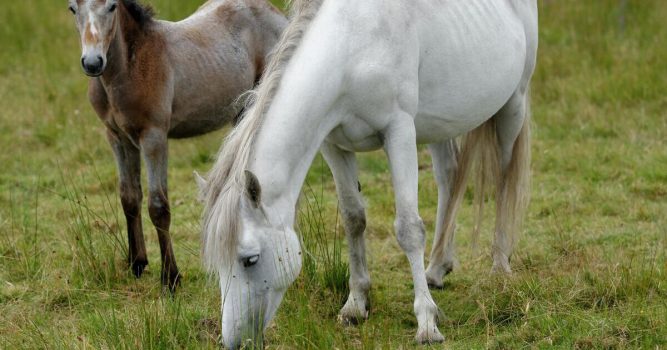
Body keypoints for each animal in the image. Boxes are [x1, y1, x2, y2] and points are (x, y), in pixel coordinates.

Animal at [68, 0, 288, 290]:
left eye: (112, 6)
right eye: (72, 8)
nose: (93, 63)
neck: (131, 64)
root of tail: (275, 12)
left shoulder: (153, 137)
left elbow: (158, 206)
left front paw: (170, 277)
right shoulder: (117, 137)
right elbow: (129, 197)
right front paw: (137, 263)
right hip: (241, 111)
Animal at [198, 0, 536, 346]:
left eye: (249, 259)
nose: (235, 341)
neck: (352, 47)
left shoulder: (399, 132)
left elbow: (409, 229)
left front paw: (427, 322)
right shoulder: (334, 145)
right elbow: (353, 219)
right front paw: (356, 305)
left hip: (514, 104)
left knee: (504, 180)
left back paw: (500, 266)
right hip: (440, 125)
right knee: (449, 178)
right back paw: (437, 268)